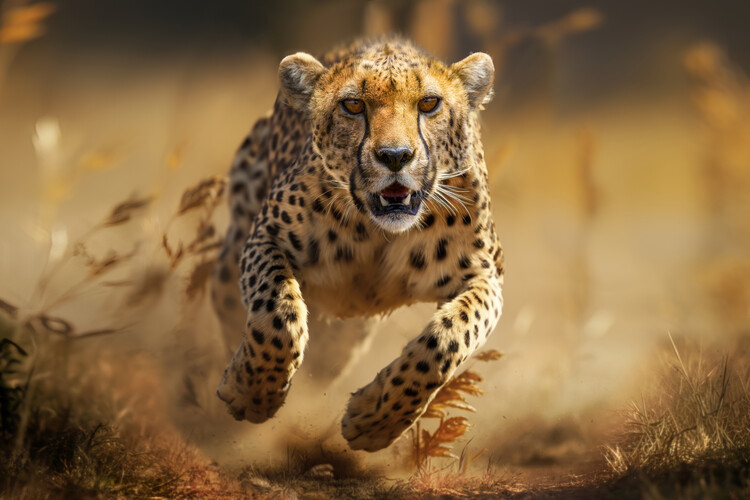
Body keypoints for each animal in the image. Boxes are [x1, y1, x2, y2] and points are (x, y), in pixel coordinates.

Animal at [210, 36, 504, 452]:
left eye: (429, 103)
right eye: (352, 105)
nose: (395, 157)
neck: (378, 233)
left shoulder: (486, 275)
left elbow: (448, 339)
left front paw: (376, 420)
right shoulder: (266, 234)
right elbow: (278, 313)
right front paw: (251, 390)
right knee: (224, 295)